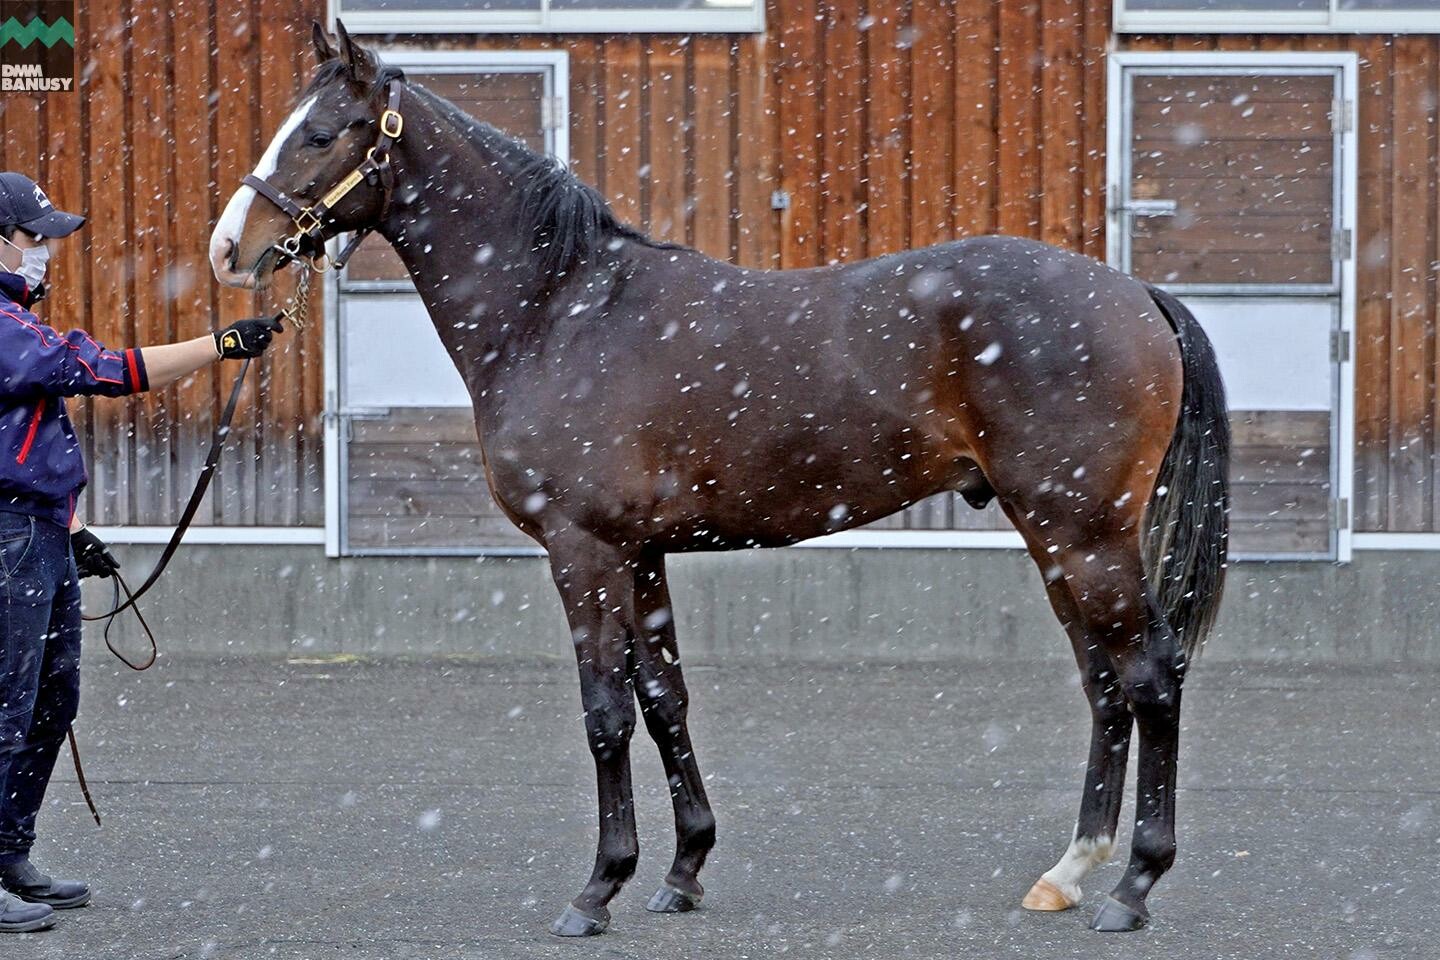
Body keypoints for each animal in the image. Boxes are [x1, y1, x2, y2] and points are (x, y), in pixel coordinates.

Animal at [210, 22, 1226, 938]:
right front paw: (682, 871)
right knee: (1104, 683)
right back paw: (1069, 873)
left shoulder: (583, 552)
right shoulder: (640, 554)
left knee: (1151, 673)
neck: (557, 311)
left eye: (322, 132)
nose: (228, 247)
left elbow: (605, 713)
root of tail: (1134, 294)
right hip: (1052, 535)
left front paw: (597, 891)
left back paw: (1135, 887)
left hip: (1086, 534)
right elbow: (664, 702)